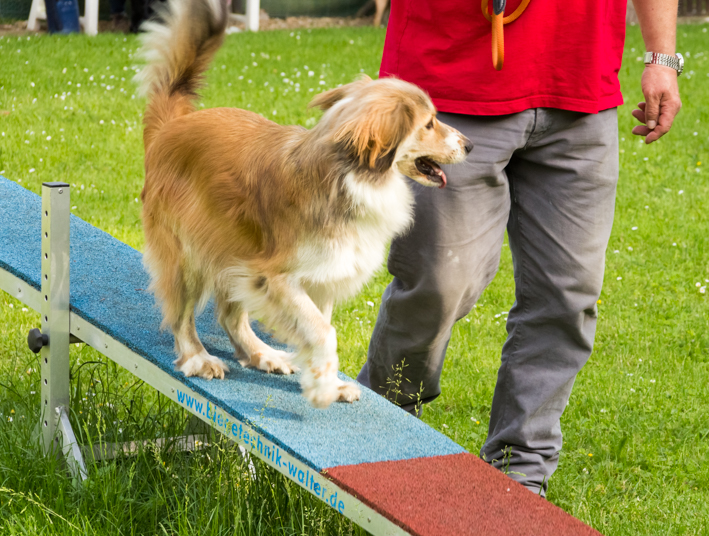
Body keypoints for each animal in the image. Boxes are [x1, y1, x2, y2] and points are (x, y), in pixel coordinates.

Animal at [136, 0, 472, 408]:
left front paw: (325, 379)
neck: (351, 177)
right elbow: (323, 332)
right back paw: (197, 357)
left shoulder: (320, 274)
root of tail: (171, 127)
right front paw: (323, 387)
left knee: (231, 316)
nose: (470, 145)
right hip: (190, 253)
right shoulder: (276, 276)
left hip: (235, 253)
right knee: (182, 315)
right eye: (429, 123)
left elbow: (320, 326)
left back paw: (261, 354)